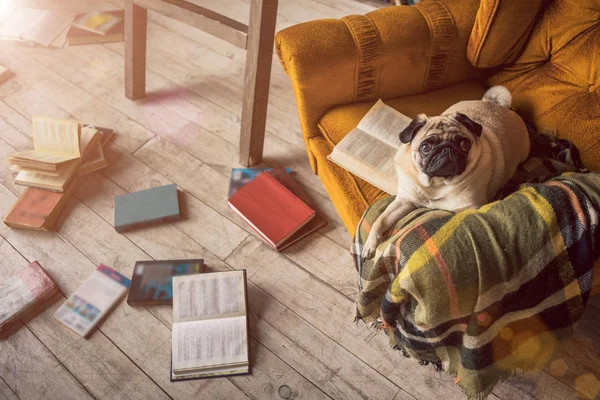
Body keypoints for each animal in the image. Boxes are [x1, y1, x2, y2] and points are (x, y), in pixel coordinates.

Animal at [360, 85, 528, 260]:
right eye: (426, 147)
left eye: (464, 145)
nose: (446, 149)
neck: (435, 184)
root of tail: (491, 103)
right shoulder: (404, 201)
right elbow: (380, 221)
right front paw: (370, 245)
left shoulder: (468, 208)